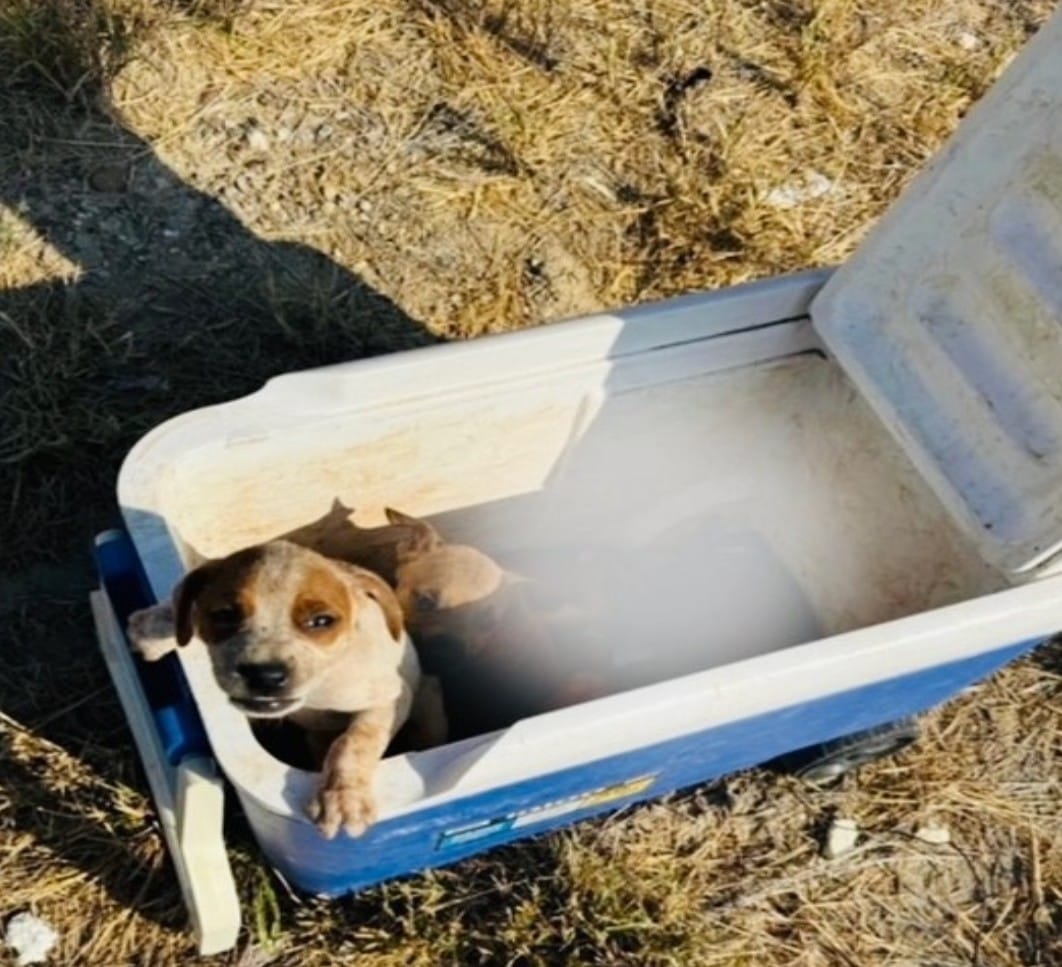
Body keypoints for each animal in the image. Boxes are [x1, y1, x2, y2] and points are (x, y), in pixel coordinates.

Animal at [132, 541, 426, 844]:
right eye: (224, 614)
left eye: (322, 621)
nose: (265, 675)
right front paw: (154, 627)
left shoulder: (390, 696)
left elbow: (354, 741)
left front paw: (343, 797)